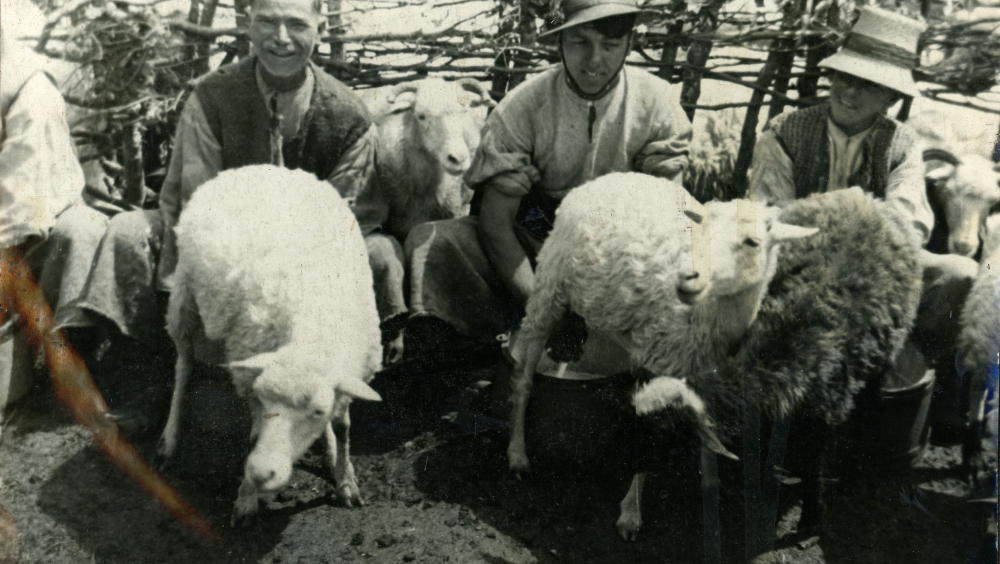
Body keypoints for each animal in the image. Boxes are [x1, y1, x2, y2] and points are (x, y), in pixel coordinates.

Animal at [155, 165, 382, 528]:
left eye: (316, 411)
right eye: (264, 399)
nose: (262, 473)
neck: (311, 332)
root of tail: (253, 167)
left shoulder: (350, 376)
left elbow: (344, 428)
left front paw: (345, 478)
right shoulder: (249, 379)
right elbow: (253, 435)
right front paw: (247, 497)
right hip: (184, 297)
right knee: (183, 366)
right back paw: (170, 439)